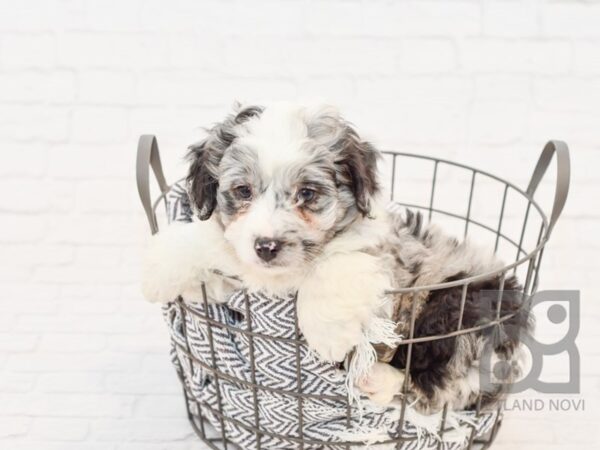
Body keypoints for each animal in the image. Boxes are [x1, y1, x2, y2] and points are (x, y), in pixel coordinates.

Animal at [143, 103, 532, 414]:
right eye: (242, 191)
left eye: (307, 193)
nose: (267, 246)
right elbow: (212, 241)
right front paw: (160, 267)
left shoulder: (378, 257)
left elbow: (335, 265)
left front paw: (328, 335)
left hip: (459, 306)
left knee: (438, 385)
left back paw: (375, 378)